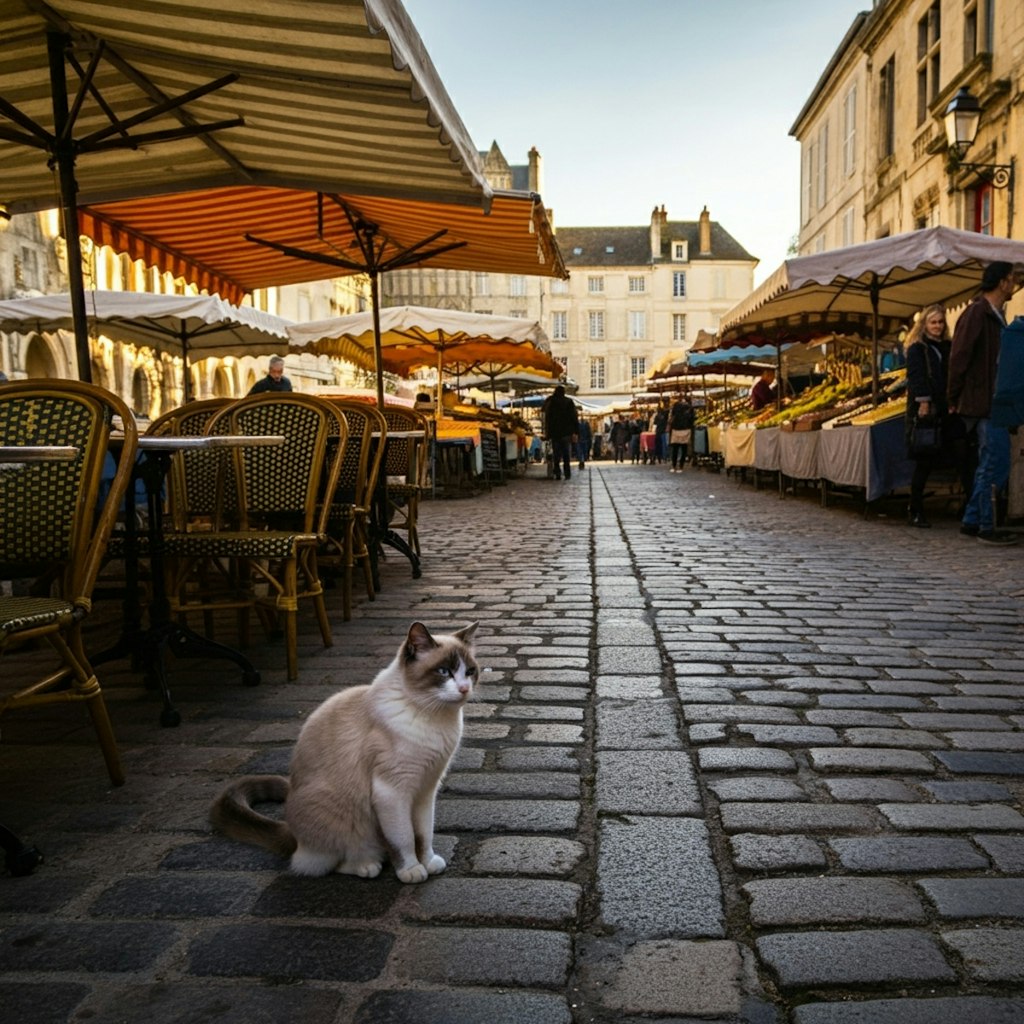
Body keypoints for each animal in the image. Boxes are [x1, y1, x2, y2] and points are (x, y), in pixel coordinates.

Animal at [210, 618, 479, 884]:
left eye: (470, 672)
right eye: (444, 672)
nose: (464, 688)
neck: (434, 718)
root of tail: (293, 834)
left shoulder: (426, 788)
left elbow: (424, 834)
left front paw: (429, 862)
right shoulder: (393, 791)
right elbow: (404, 838)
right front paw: (411, 870)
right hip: (338, 816)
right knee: (320, 863)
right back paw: (367, 866)